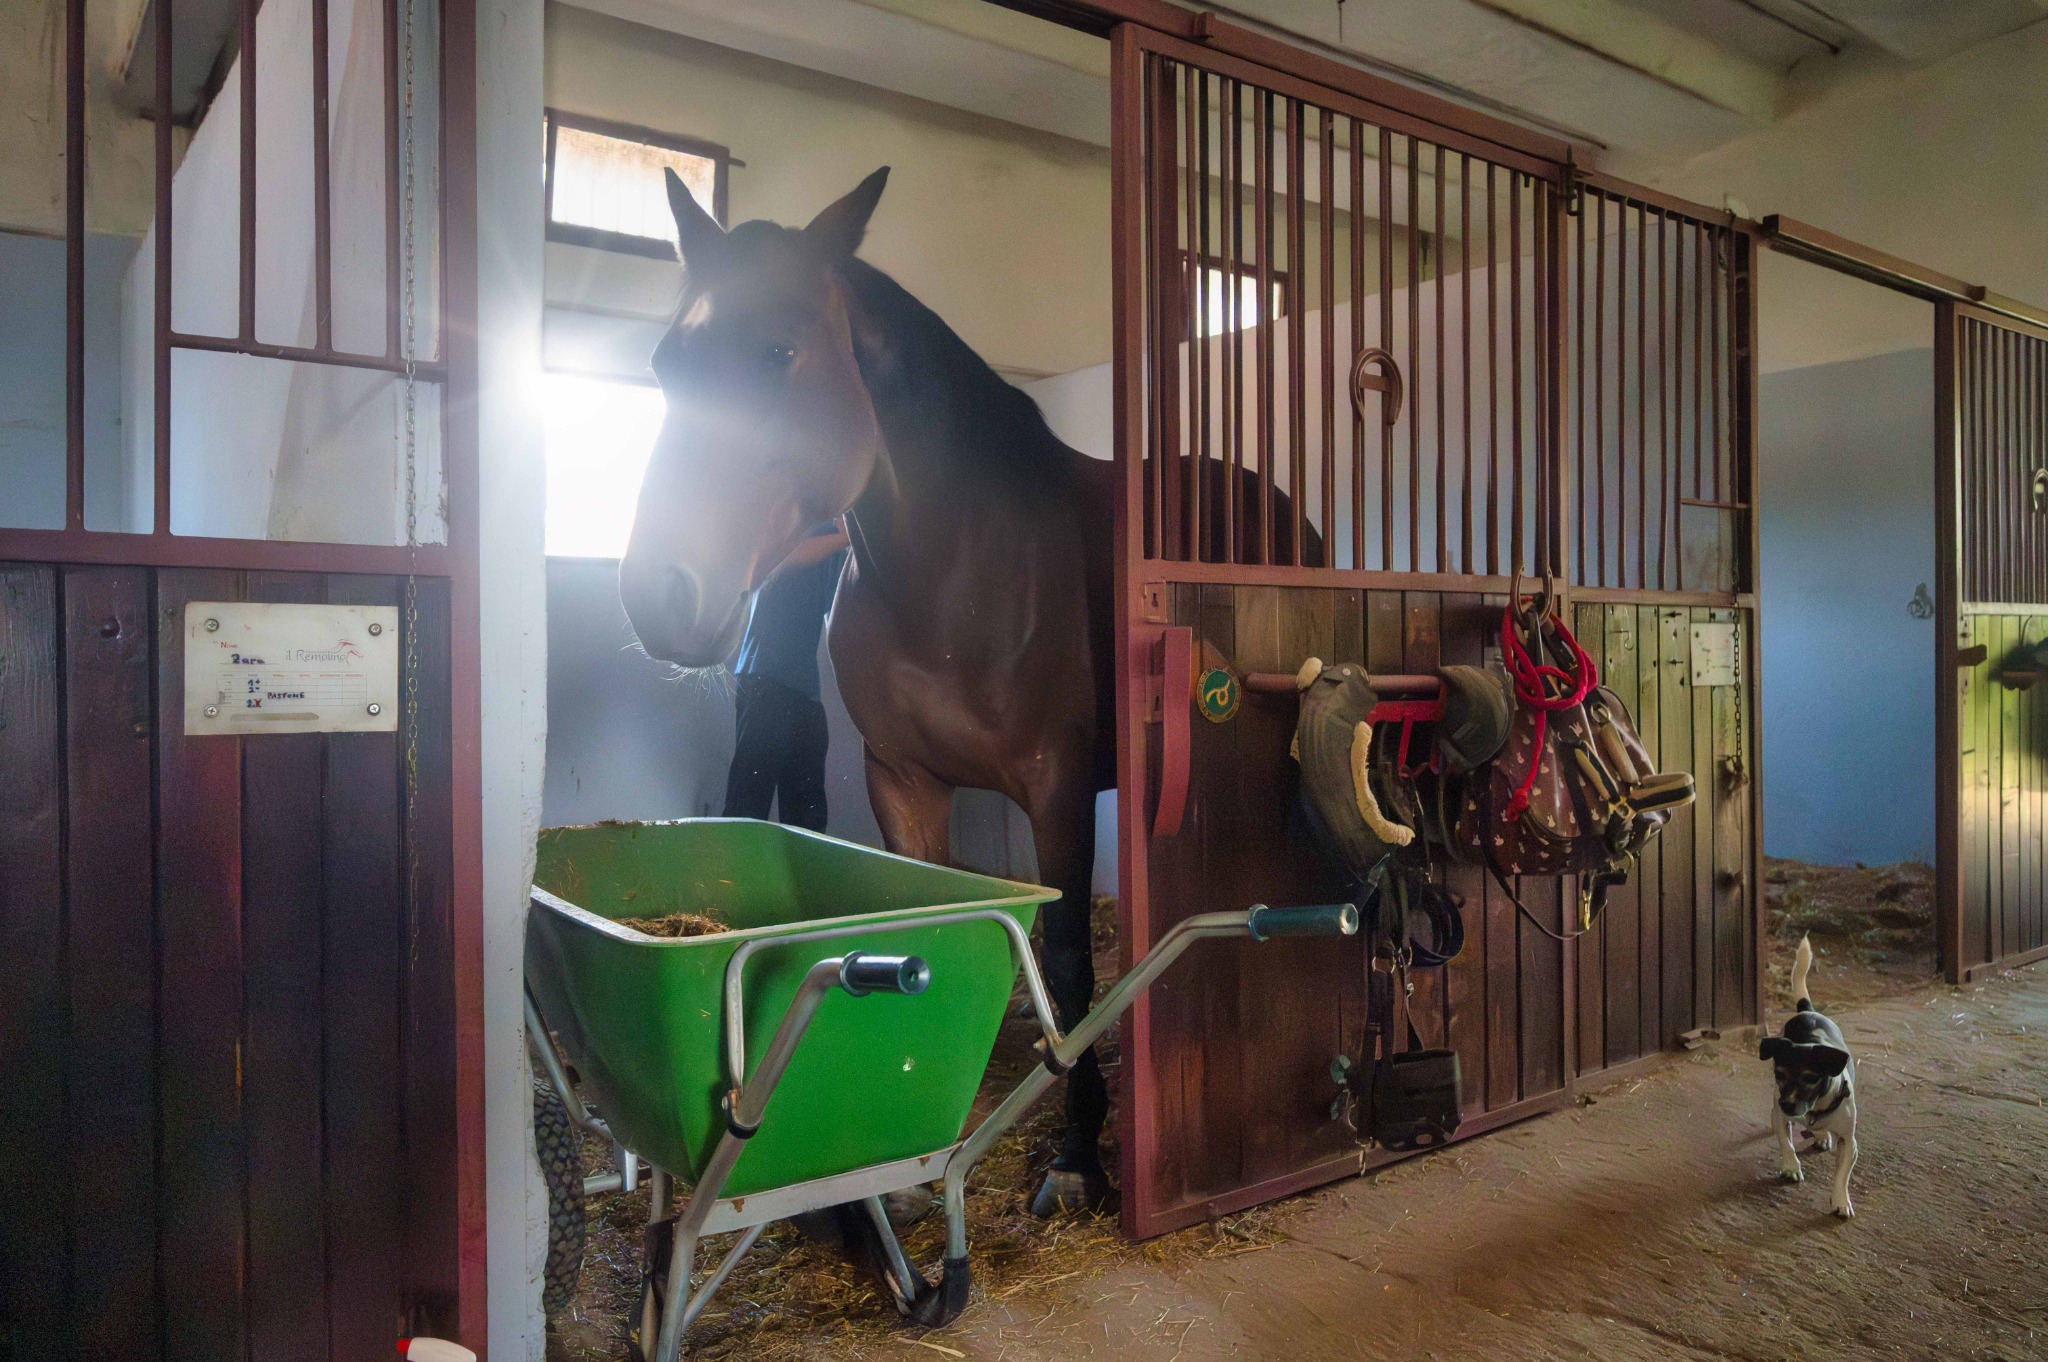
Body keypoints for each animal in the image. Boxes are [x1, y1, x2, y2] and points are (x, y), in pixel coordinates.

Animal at [619, 166, 1313, 1214]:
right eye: (666, 364)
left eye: (779, 351)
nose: (662, 595)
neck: (952, 570)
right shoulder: (901, 780)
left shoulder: (1056, 786)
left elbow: (1065, 960)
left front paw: (1077, 1153)